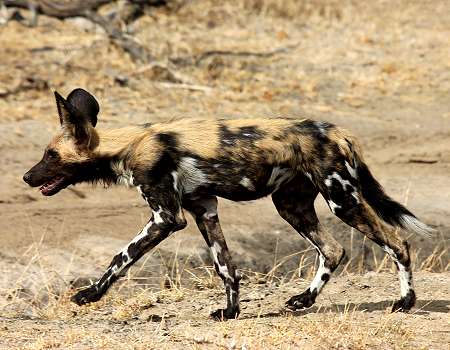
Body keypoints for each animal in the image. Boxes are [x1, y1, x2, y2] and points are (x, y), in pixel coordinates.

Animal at [22, 88, 434, 320]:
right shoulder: (204, 207)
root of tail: (339, 132)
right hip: (291, 205)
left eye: (50, 155)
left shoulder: (165, 217)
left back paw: (405, 303)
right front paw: (232, 312)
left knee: (397, 242)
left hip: (341, 201)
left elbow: (120, 258)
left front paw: (90, 295)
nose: (27, 177)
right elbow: (226, 267)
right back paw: (303, 300)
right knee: (333, 250)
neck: (127, 146)